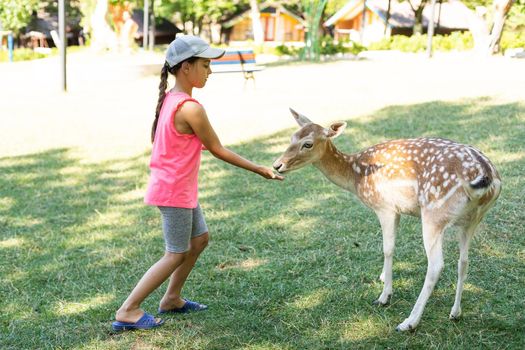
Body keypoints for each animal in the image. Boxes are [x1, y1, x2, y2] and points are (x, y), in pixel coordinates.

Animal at [272, 108, 502, 330]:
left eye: (307, 144)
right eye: (292, 137)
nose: (277, 165)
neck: (355, 176)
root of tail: (488, 177)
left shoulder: (384, 207)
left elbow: (387, 249)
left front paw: (384, 295)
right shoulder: (398, 210)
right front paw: (383, 277)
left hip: (434, 213)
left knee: (436, 265)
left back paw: (409, 322)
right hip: (472, 220)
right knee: (463, 260)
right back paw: (455, 312)